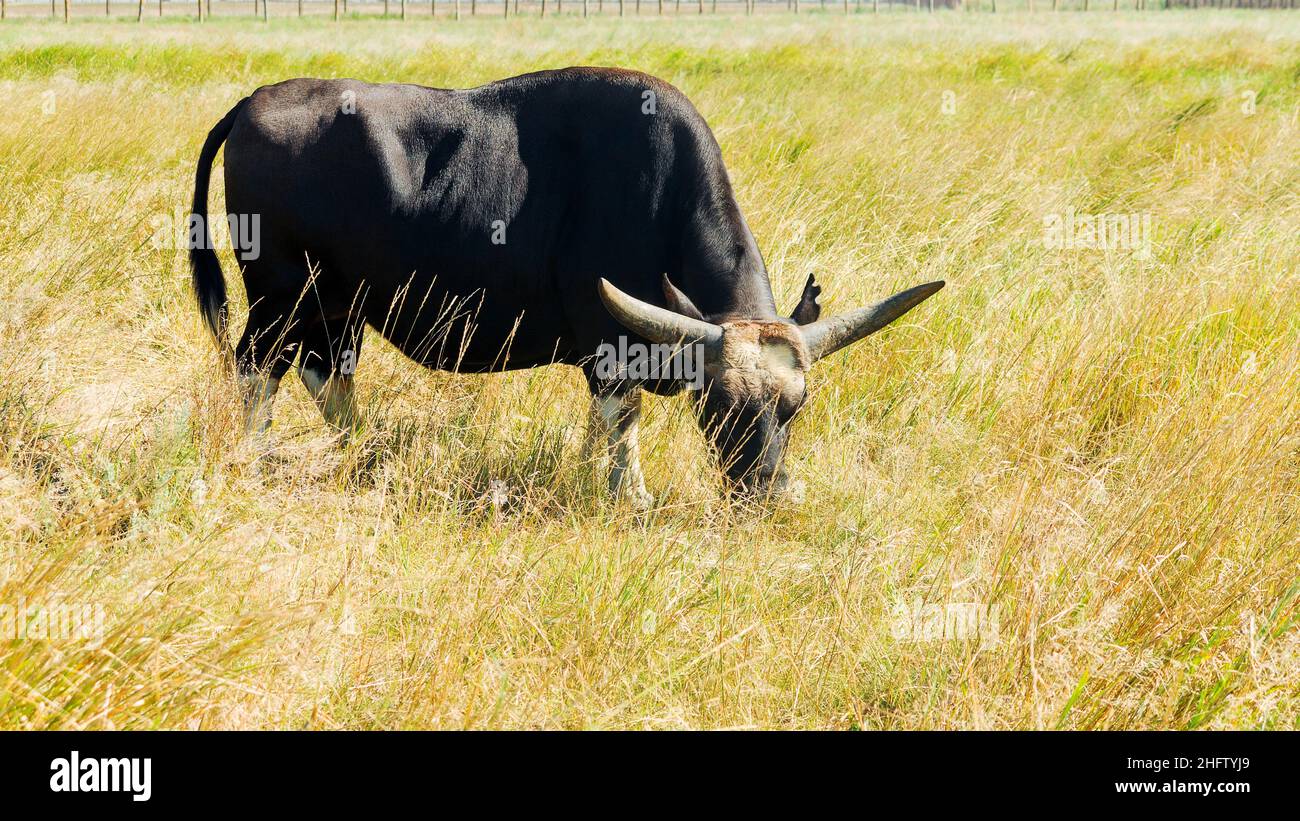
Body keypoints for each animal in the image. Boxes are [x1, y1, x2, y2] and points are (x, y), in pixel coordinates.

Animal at [189, 68, 946, 506]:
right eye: (718, 407)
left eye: (796, 407)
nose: (768, 495)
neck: (657, 195)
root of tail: (253, 102)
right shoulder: (610, 345)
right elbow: (622, 420)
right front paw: (630, 499)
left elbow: (603, 425)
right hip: (279, 297)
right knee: (258, 369)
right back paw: (257, 462)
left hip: (337, 306)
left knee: (327, 373)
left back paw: (368, 459)